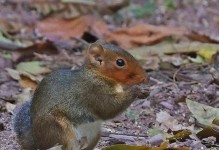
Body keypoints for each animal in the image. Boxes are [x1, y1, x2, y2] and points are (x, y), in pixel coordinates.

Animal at [12, 40, 148, 150]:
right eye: (120, 62)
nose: (144, 78)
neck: (97, 75)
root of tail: (37, 142)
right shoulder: (93, 92)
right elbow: (108, 108)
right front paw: (136, 90)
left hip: (93, 135)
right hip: (60, 131)